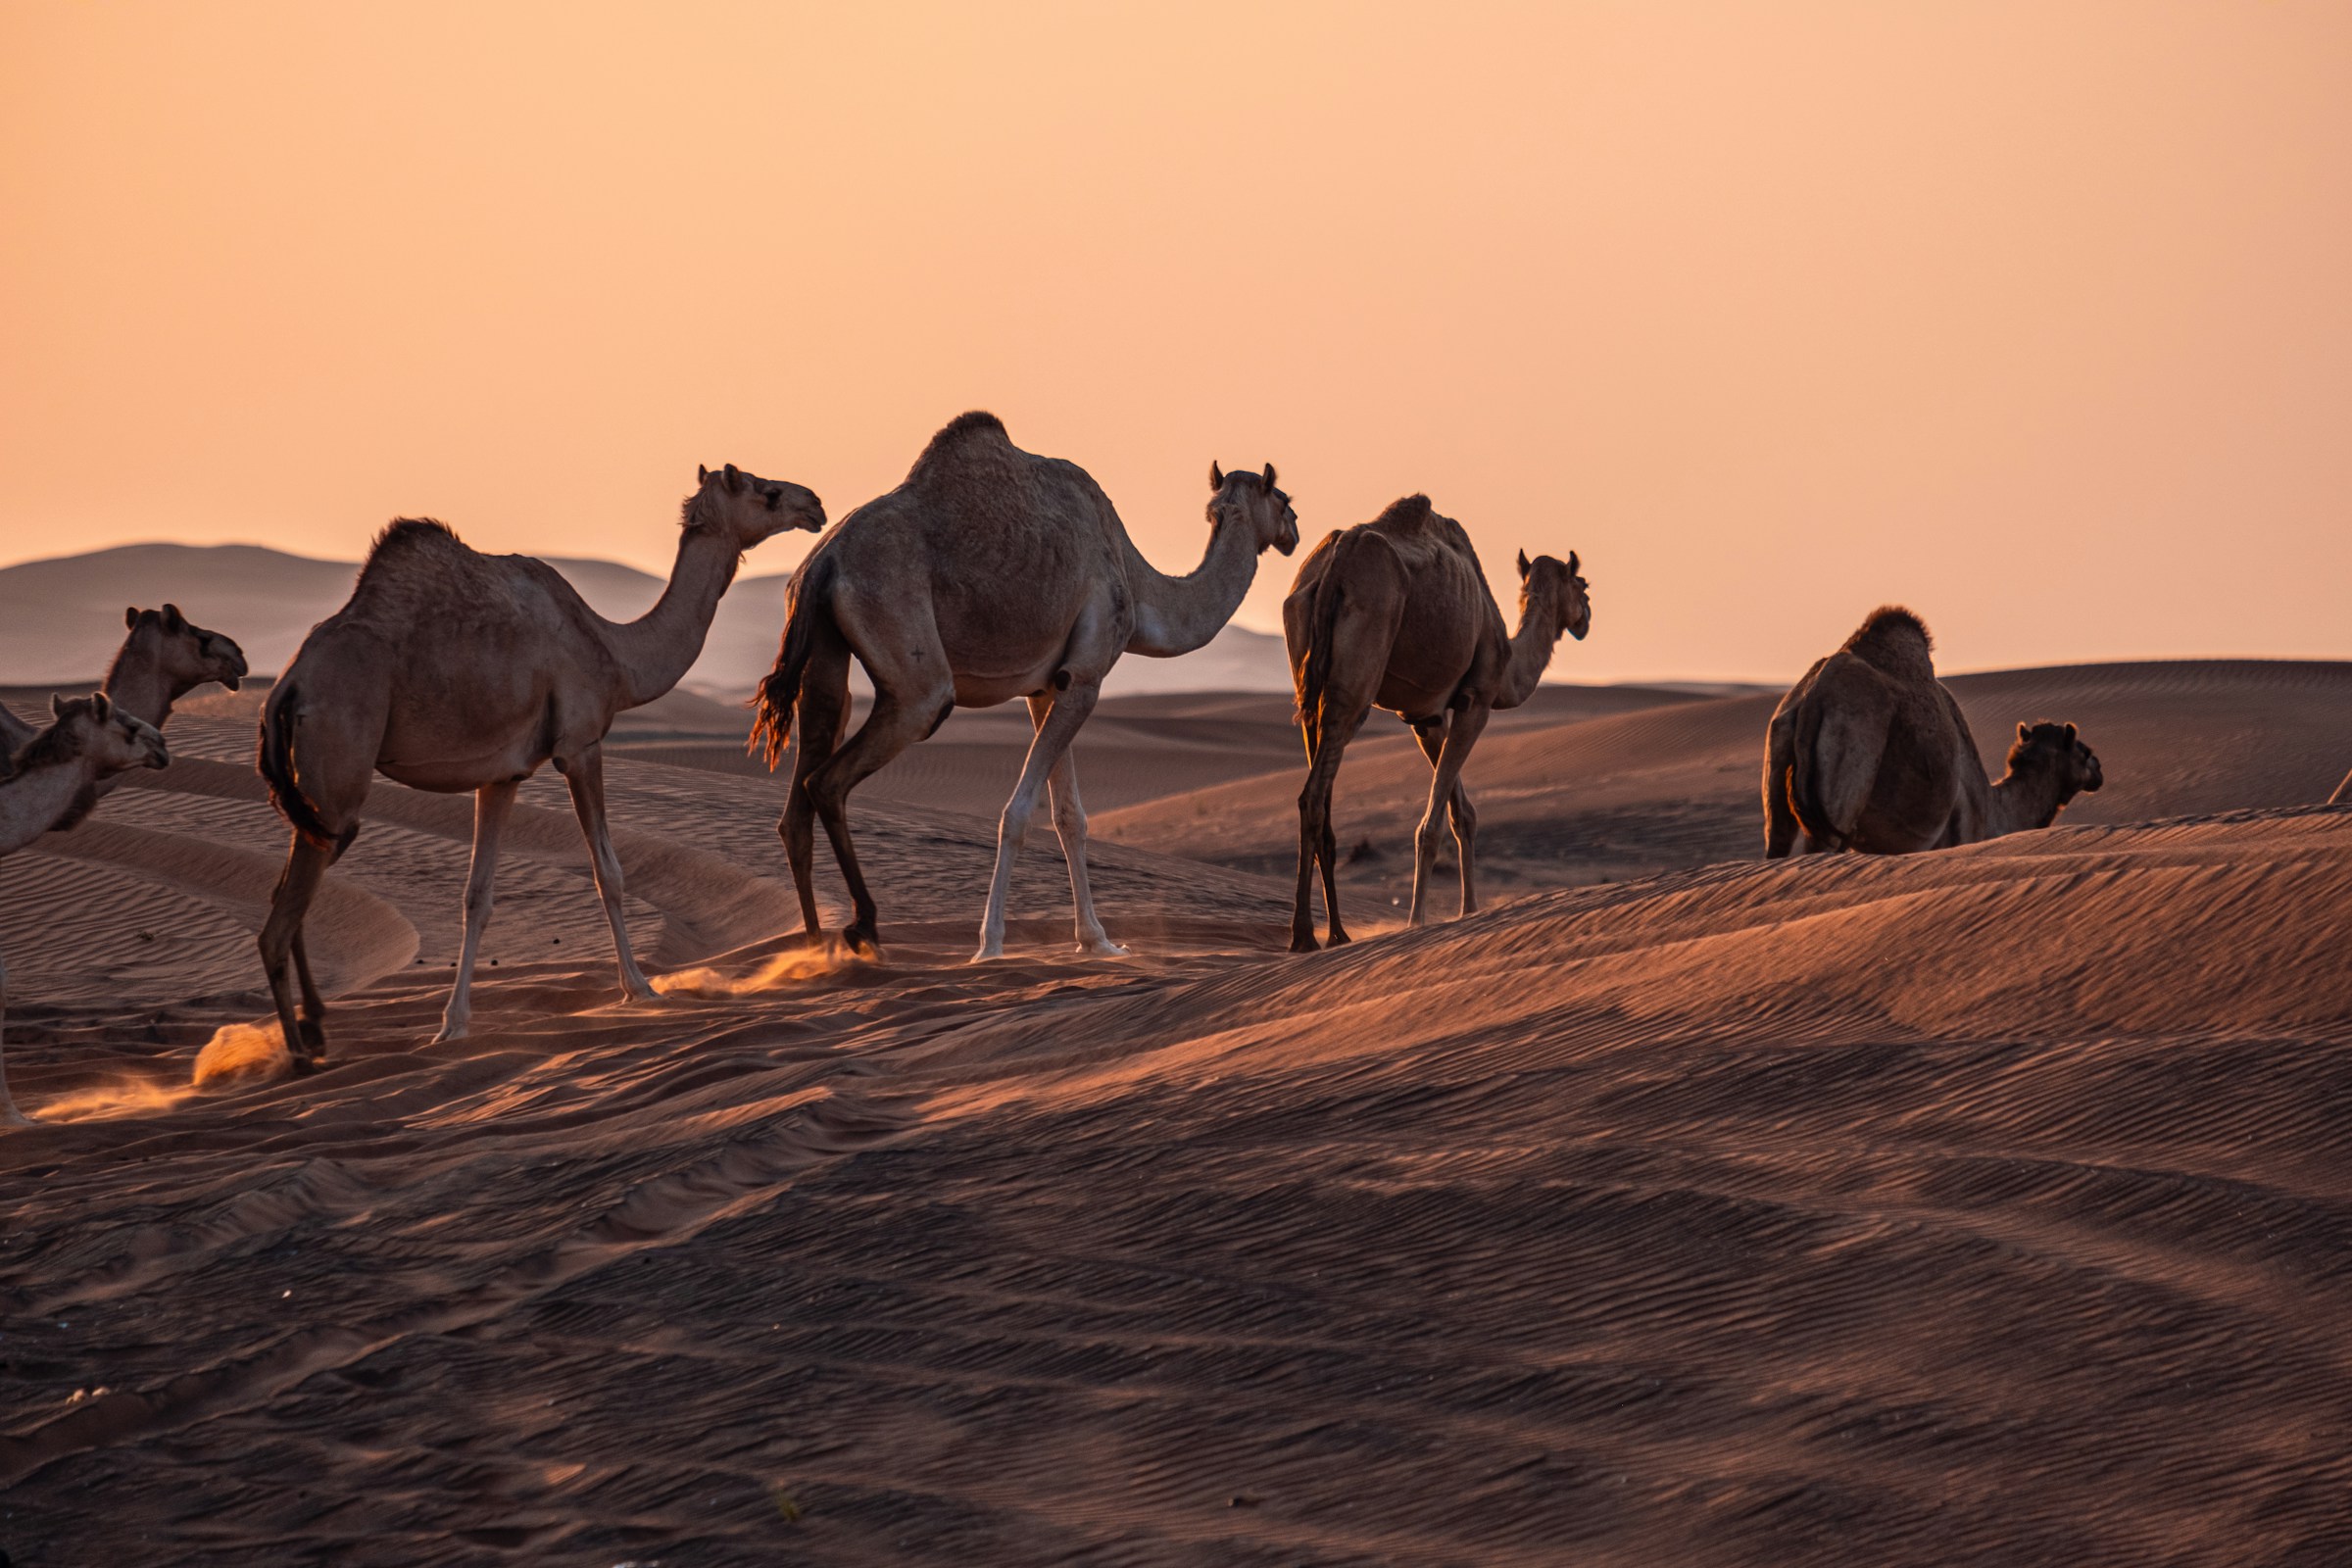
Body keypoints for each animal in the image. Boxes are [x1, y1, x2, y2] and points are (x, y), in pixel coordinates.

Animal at [256, 464, 823, 1066]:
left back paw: (314, 1031)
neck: (614, 653)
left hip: (315, 802)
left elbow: (477, 896)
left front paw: (453, 1025)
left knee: (289, 902)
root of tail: (286, 688)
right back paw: (299, 1054)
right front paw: (639, 988)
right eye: (768, 492)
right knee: (280, 922)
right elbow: (609, 873)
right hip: (337, 777)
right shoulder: (581, 746)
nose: (815, 504)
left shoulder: (502, 775)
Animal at [750, 411, 1298, 961]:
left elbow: (1069, 815)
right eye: (1283, 498)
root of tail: (821, 563)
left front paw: (1097, 940)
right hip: (910, 664)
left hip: (824, 650)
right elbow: (1017, 812)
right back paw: (863, 926)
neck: (1138, 584)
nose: (1294, 531)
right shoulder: (1086, 677)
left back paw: (814, 948)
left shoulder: (1046, 687)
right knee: (832, 777)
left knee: (801, 791)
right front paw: (990, 944)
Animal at [1282, 496, 1590, 951]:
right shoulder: (1476, 701)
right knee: (1314, 795)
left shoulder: (1424, 719)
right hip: (1358, 671)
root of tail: (1337, 560)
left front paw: (1469, 909)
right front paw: (1417, 920)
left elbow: (1463, 814)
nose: (1586, 618)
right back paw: (1307, 935)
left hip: (1306, 671)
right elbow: (1433, 824)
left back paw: (1336, 933)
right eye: (1583, 586)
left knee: (1316, 788)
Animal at [1763, 606, 2103, 857]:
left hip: (1779, 751)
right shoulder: (1961, 835)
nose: (2099, 770)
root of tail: (1813, 699)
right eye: (2084, 751)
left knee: (1778, 839)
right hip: (1845, 769)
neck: (1994, 810)